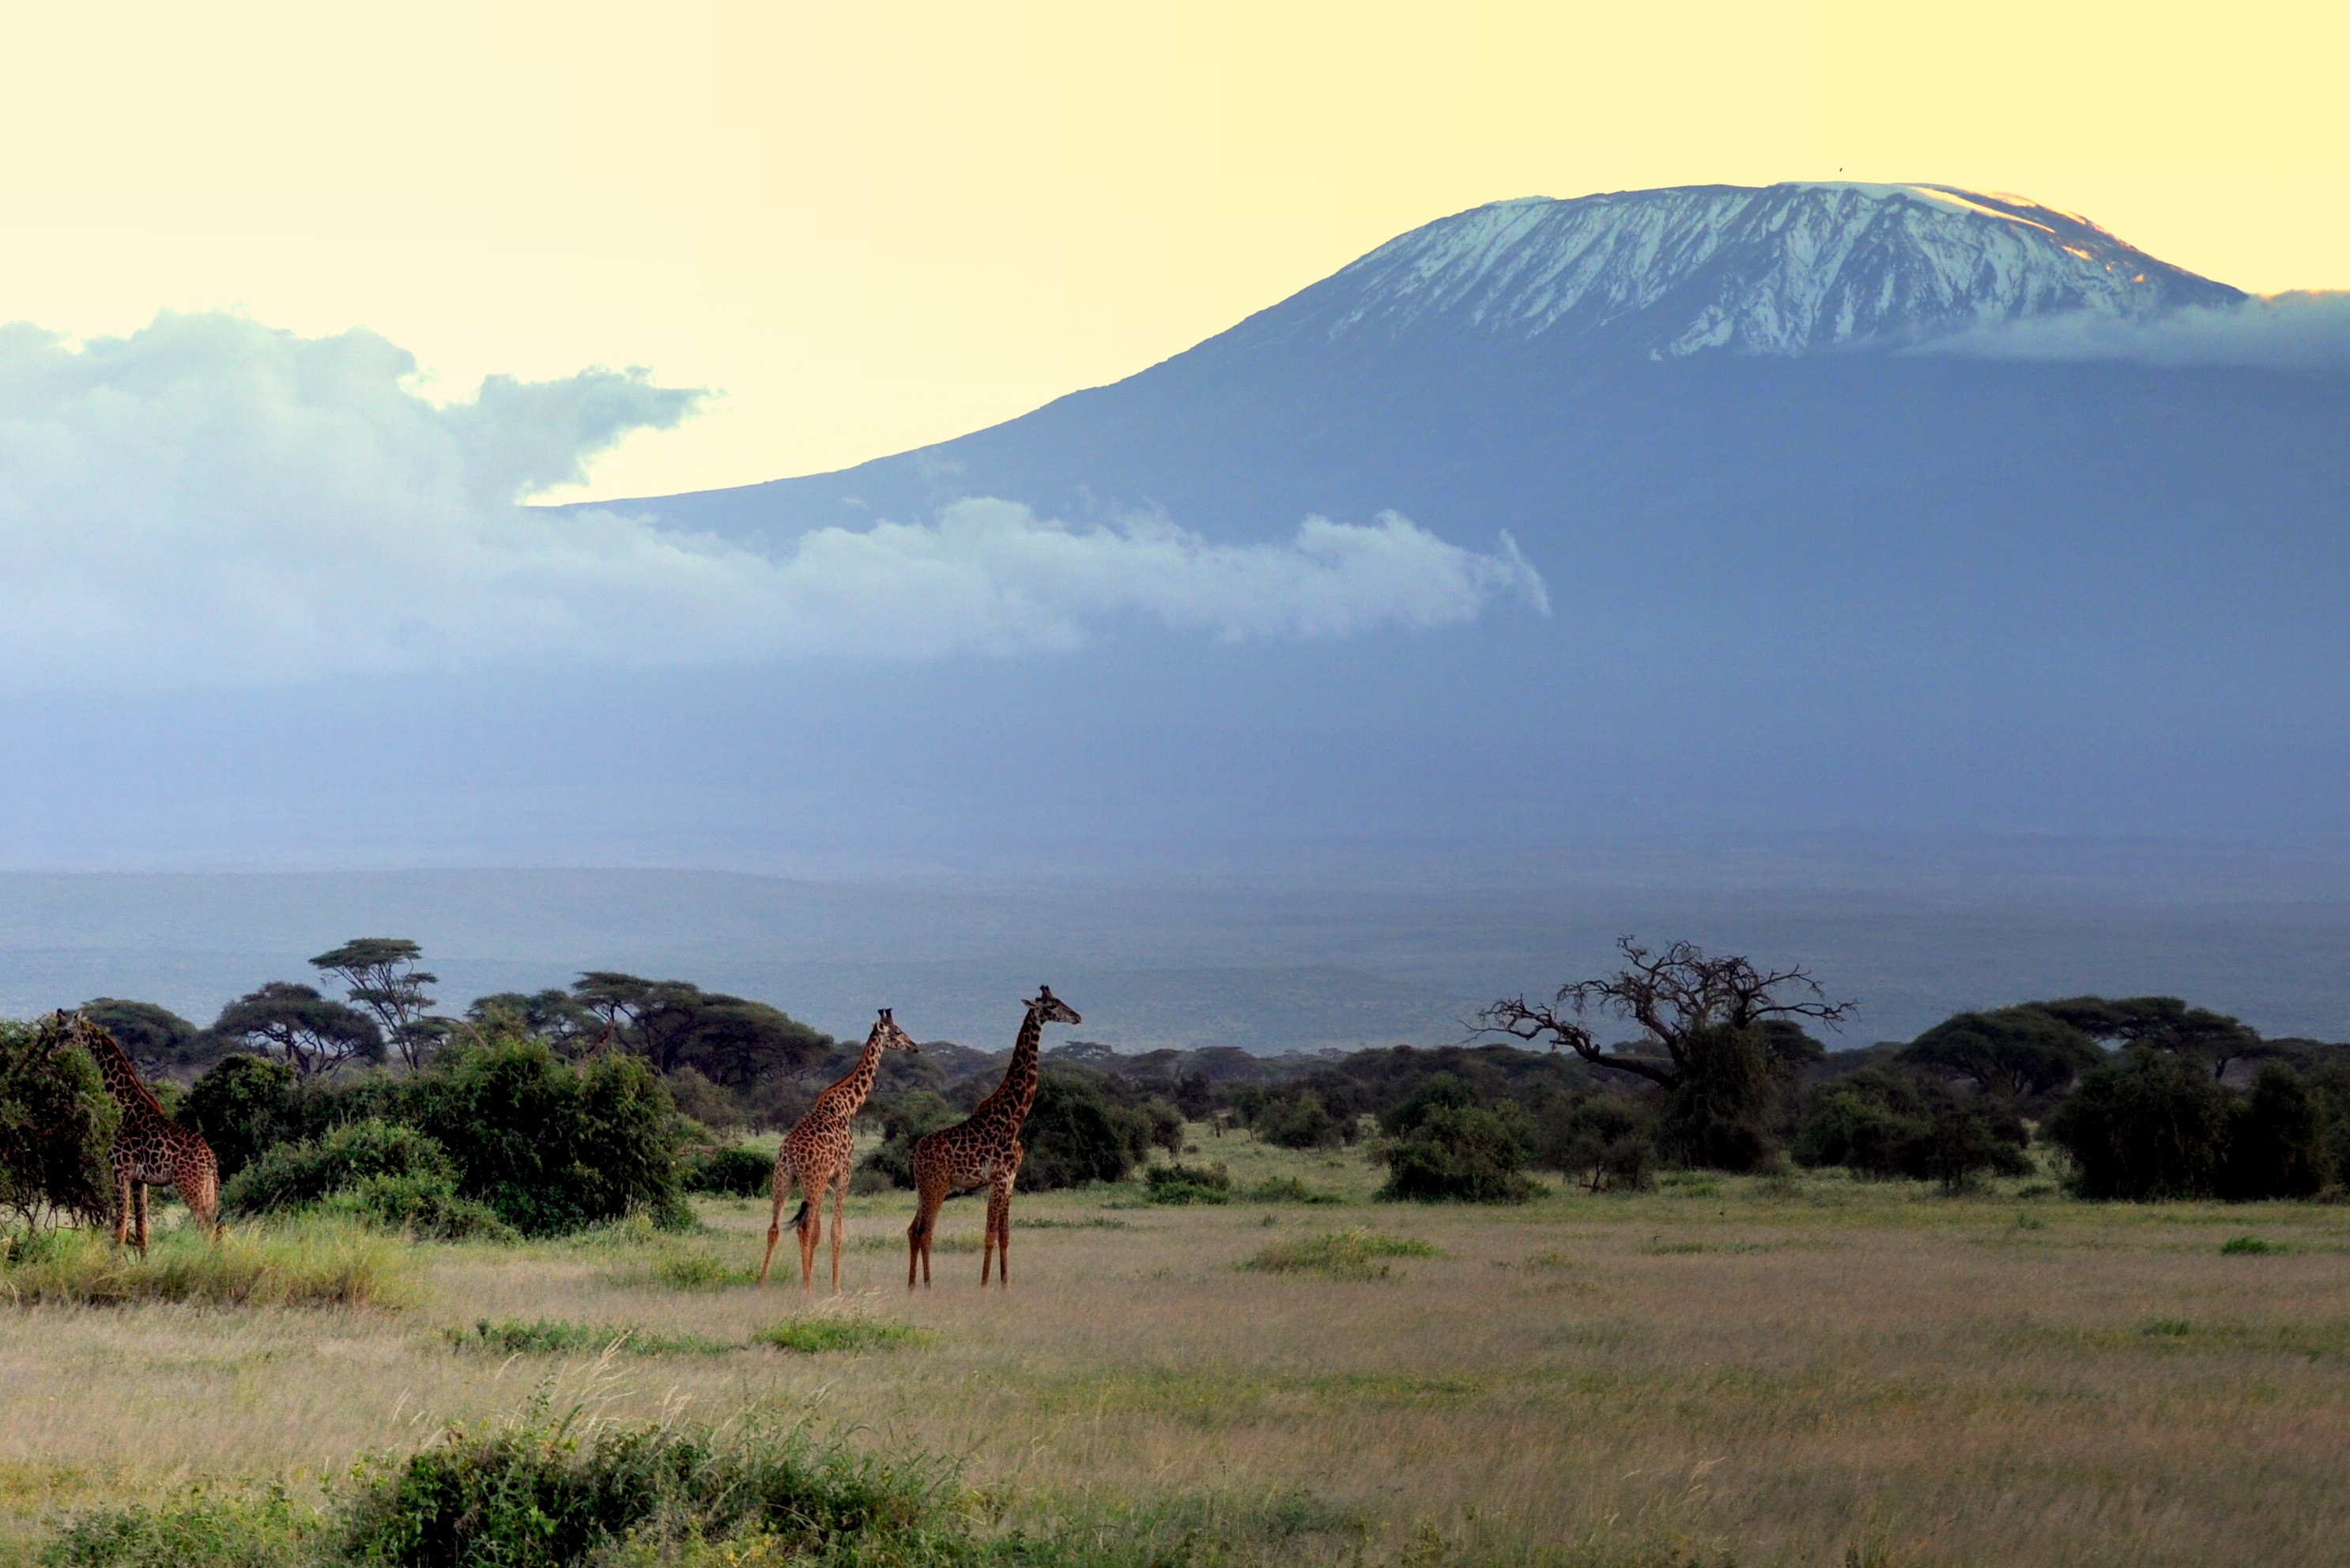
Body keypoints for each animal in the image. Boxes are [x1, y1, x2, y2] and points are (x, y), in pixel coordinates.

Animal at [55, 1011, 221, 1260]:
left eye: (65, 1032)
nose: (51, 1051)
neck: (126, 1107)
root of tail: (210, 1159)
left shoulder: (120, 1170)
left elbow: (120, 1227)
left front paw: (114, 1265)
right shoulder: (139, 1180)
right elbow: (143, 1228)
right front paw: (143, 1263)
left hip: (190, 1186)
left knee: (207, 1228)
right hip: (207, 1188)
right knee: (216, 1226)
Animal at [761, 1011, 926, 1297]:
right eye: (896, 1031)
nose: (914, 1046)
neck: (848, 1107)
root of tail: (790, 1152)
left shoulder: (826, 1179)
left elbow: (818, 1232)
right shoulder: (844, 1173)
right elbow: (834, 1232)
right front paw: (835, 1287)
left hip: (783, 1178)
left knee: (774, 1228)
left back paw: (761, 1285)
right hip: (812, 1180)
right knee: (802, 1228)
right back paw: (806, 1288)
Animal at [907, 987, 1081, 1297]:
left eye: (1060, 1000)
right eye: (1050, 1005)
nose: (1077, 1017)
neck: (1014, 1118)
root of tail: (915, 1154)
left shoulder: (1011, 1181)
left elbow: (1005, 1235)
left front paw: (1005, 1282)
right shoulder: (998, 1179)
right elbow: (989, 1234)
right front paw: (985, 1284)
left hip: (923, 1188)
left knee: (913, 1230)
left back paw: (912, 1285)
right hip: (937, 1185)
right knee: (925, 1232)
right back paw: (928, 1285)